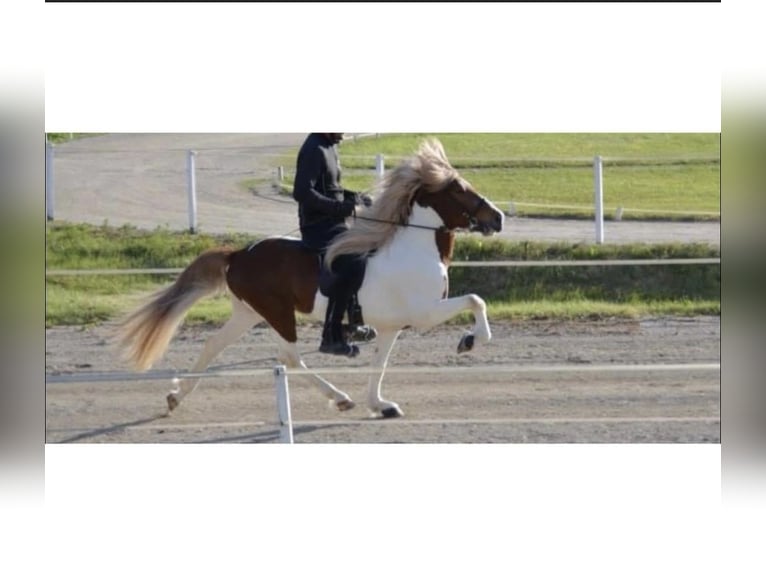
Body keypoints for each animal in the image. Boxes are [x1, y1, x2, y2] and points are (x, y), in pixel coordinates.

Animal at [117, 140, 508, 418]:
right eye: (458, 189)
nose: (498, 218)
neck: (414, 246)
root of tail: (239, 254)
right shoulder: (425, 312)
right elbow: (476, 300)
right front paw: (470, 340)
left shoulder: (391, 326)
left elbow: (379, 365)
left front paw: (380, 405)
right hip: (277, 313)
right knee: (289, 358)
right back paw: (340, 397)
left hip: (249, 312)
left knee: (214, 345)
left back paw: (175, 397)